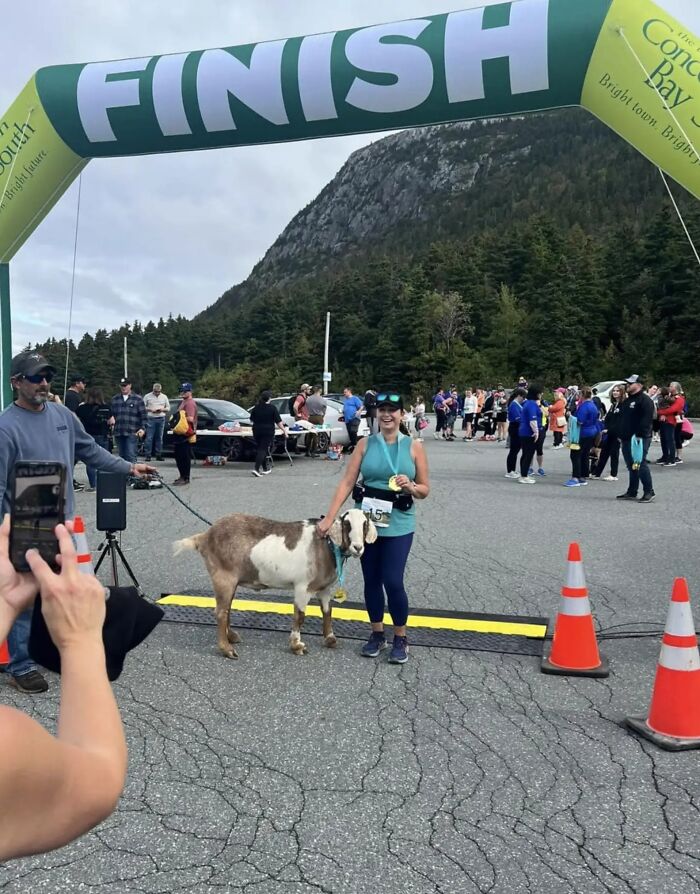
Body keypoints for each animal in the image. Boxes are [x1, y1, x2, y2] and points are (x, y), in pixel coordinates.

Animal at [172, 512, 374, 656]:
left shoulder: (324, 588)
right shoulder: (303, 587)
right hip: (223, 577)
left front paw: (330, 639)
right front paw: (297, 645)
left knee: (226, 608)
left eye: (365, 524)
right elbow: (300, 616)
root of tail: (205, 536)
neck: (325, 546)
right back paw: (227, 649)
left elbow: (327, 611)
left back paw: (232, 637)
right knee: (221, 612)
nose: (358, 547)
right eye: (347, 524)